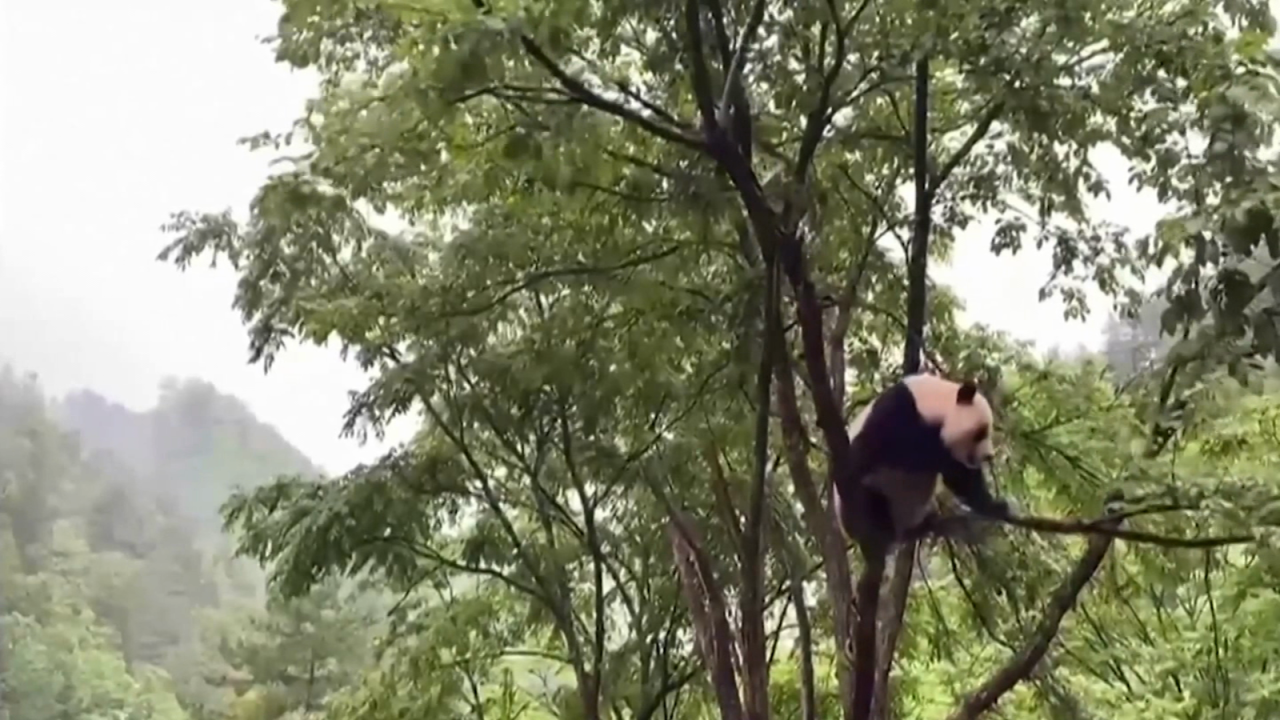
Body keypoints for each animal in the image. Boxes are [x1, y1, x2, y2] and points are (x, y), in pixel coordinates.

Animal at [839, 368, 1008, 543]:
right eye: (980, 433)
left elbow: (962, 478)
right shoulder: (898, 410)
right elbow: (897, 449)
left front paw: (994, 506)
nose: (988, 456)